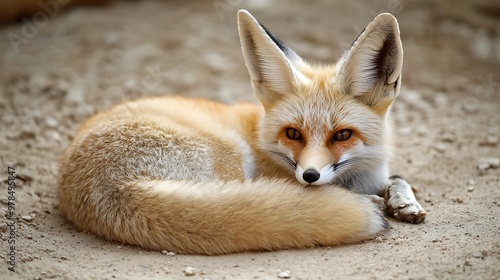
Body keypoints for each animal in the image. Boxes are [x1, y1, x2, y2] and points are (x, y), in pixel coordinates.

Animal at [58, 9, 426, 255]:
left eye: (343, 135)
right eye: (293, 134)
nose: (309, 176)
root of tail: (107, 187)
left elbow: (398, 178)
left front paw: (405, 202)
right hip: (229, 156)